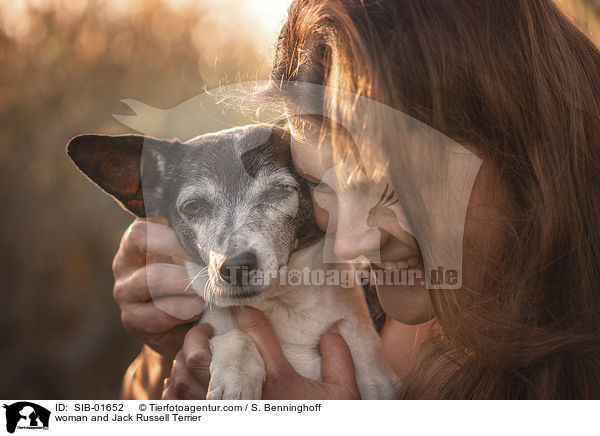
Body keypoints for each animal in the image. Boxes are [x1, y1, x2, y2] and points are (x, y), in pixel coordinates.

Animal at [67, 122, 398, 398]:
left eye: (279, 191)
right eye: (193, 205)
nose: (236, 266)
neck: (282, 306)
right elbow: (235, 334)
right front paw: (236, 376)